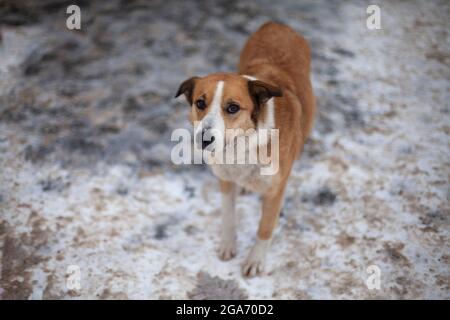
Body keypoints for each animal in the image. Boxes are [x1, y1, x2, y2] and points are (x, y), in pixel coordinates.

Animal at [174, 21, 314, 278]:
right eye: (200, 103)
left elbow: (265, 228)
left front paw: (255, 260)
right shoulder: (225, 180)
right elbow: (229, 216)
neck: (241, 146)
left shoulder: (275, 191)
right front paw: (228, 246)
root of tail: (277, 23)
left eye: (232, 108)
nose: (204, 140)